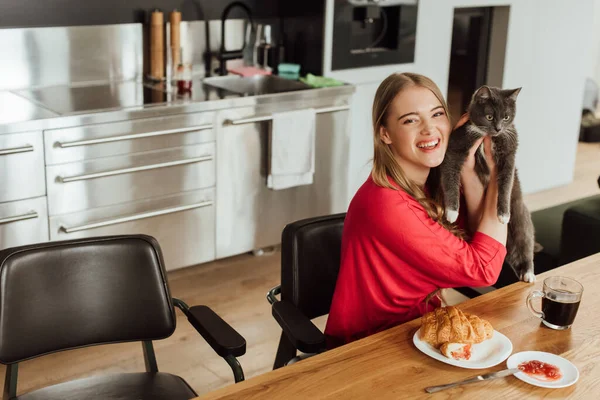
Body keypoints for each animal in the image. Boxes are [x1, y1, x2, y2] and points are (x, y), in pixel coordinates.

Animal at [440, 85, 536, 282]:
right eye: (490, 116)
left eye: (506, 117)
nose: (498, 128)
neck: (488, 137)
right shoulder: (455, 146)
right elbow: (450, 176)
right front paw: (452, 212)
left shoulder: (509, 152)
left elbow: (506, 184)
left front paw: (503, 215)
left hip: (520, 217)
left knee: (525, 242)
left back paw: (528, 273)